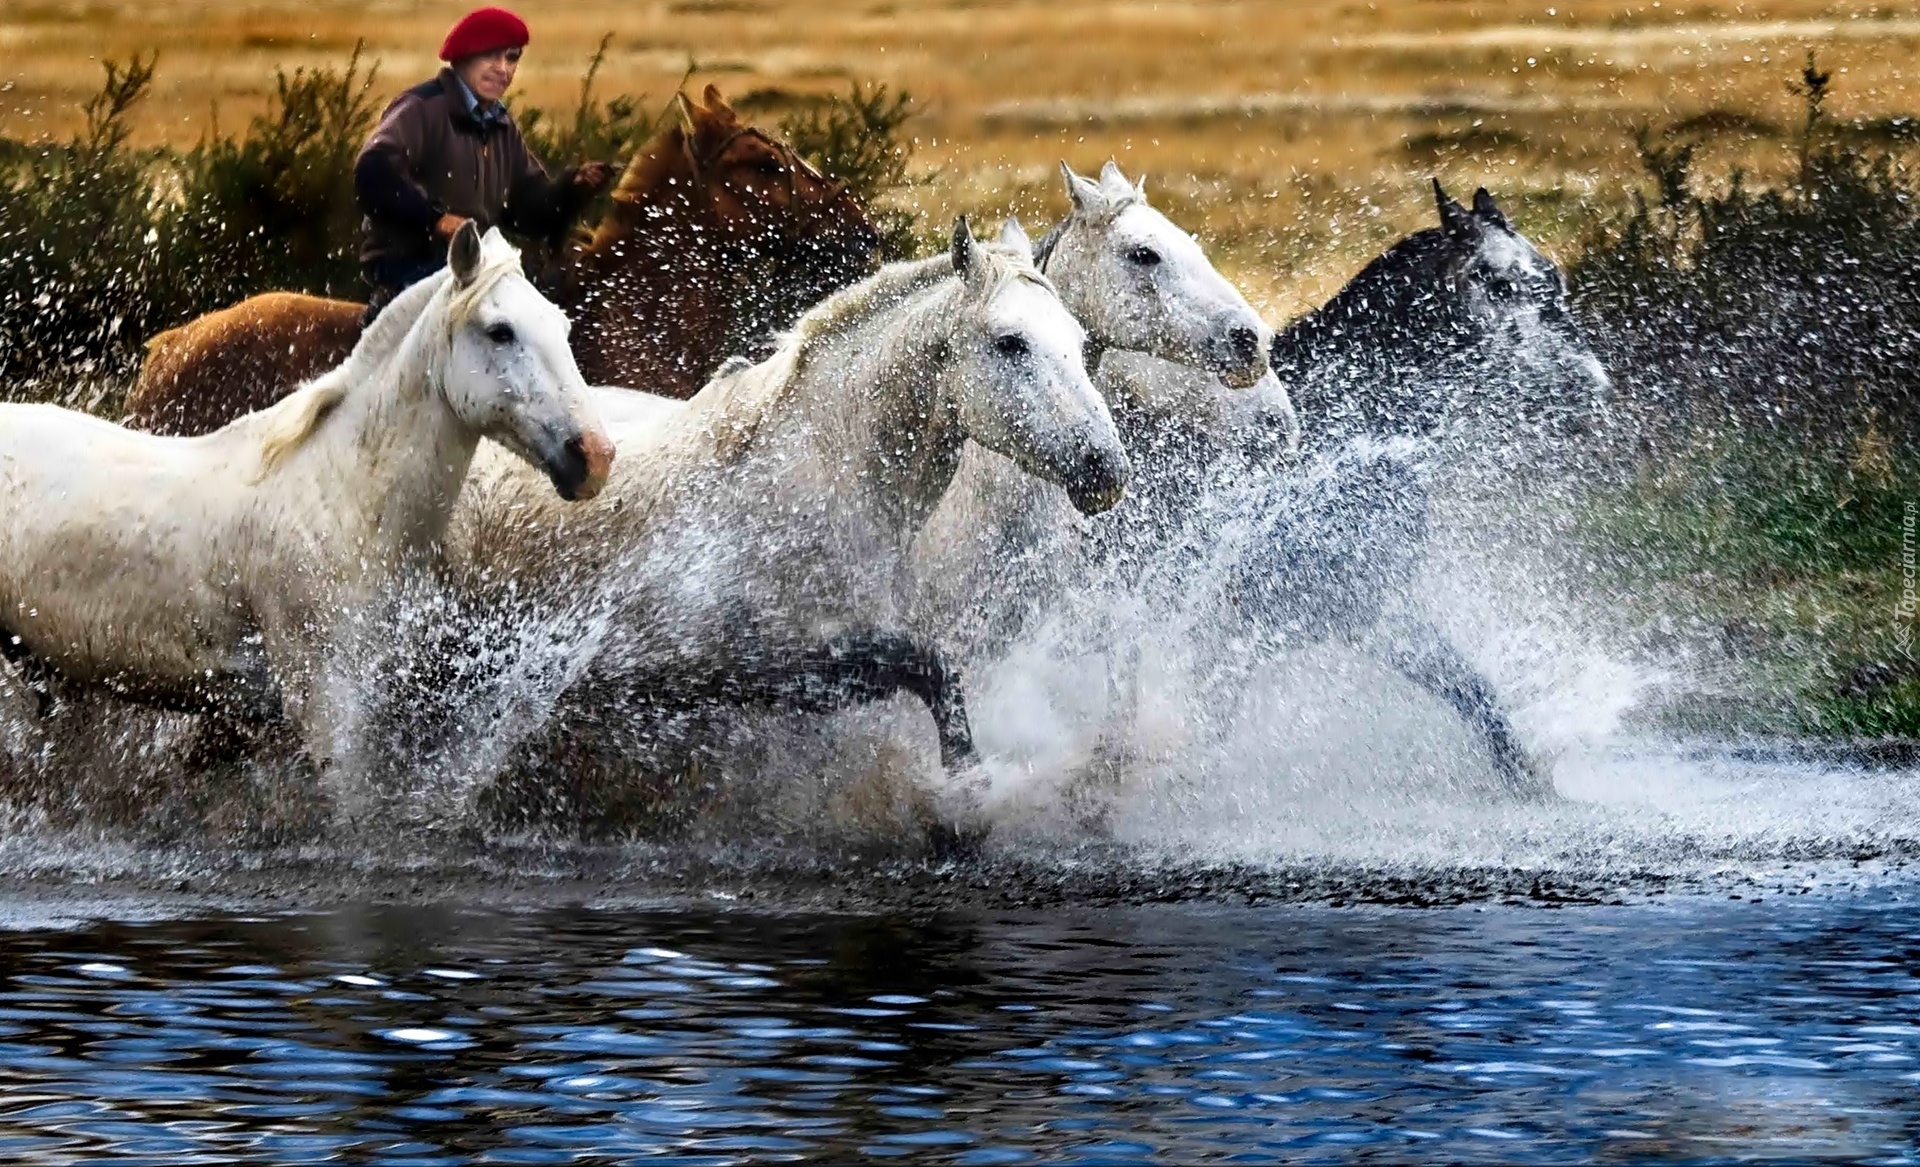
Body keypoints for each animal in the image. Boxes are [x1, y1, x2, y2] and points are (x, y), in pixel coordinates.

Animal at [445, 216, 1121, 836]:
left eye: (1077, 338)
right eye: (1011, 342)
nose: (1106, 466)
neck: (812, 475)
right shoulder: (760, 662)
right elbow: (932, 668)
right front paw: (967, 794)